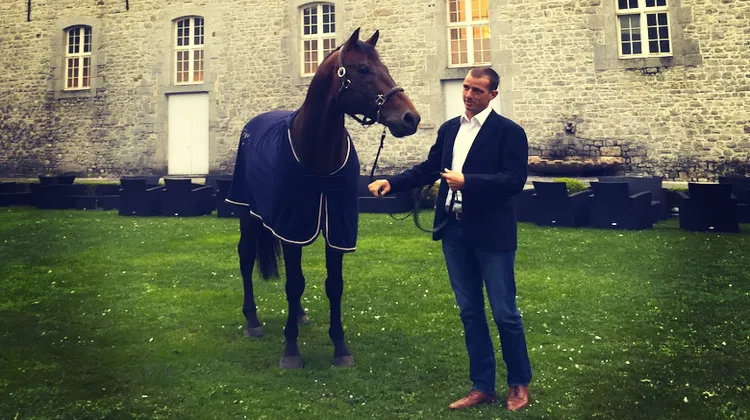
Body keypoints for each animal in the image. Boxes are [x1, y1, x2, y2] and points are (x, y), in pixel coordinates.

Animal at [225, 28, 421, 369]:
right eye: (364, 69)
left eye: (384, 66)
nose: (411, 118)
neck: (318, 153)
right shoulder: (292, 226)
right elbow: (294, 283)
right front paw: (291, 350)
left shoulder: (335, 229)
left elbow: (334, 285)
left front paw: (340, 347)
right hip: (248, 214)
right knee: (246, 258)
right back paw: (252, 321)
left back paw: (299, 315)